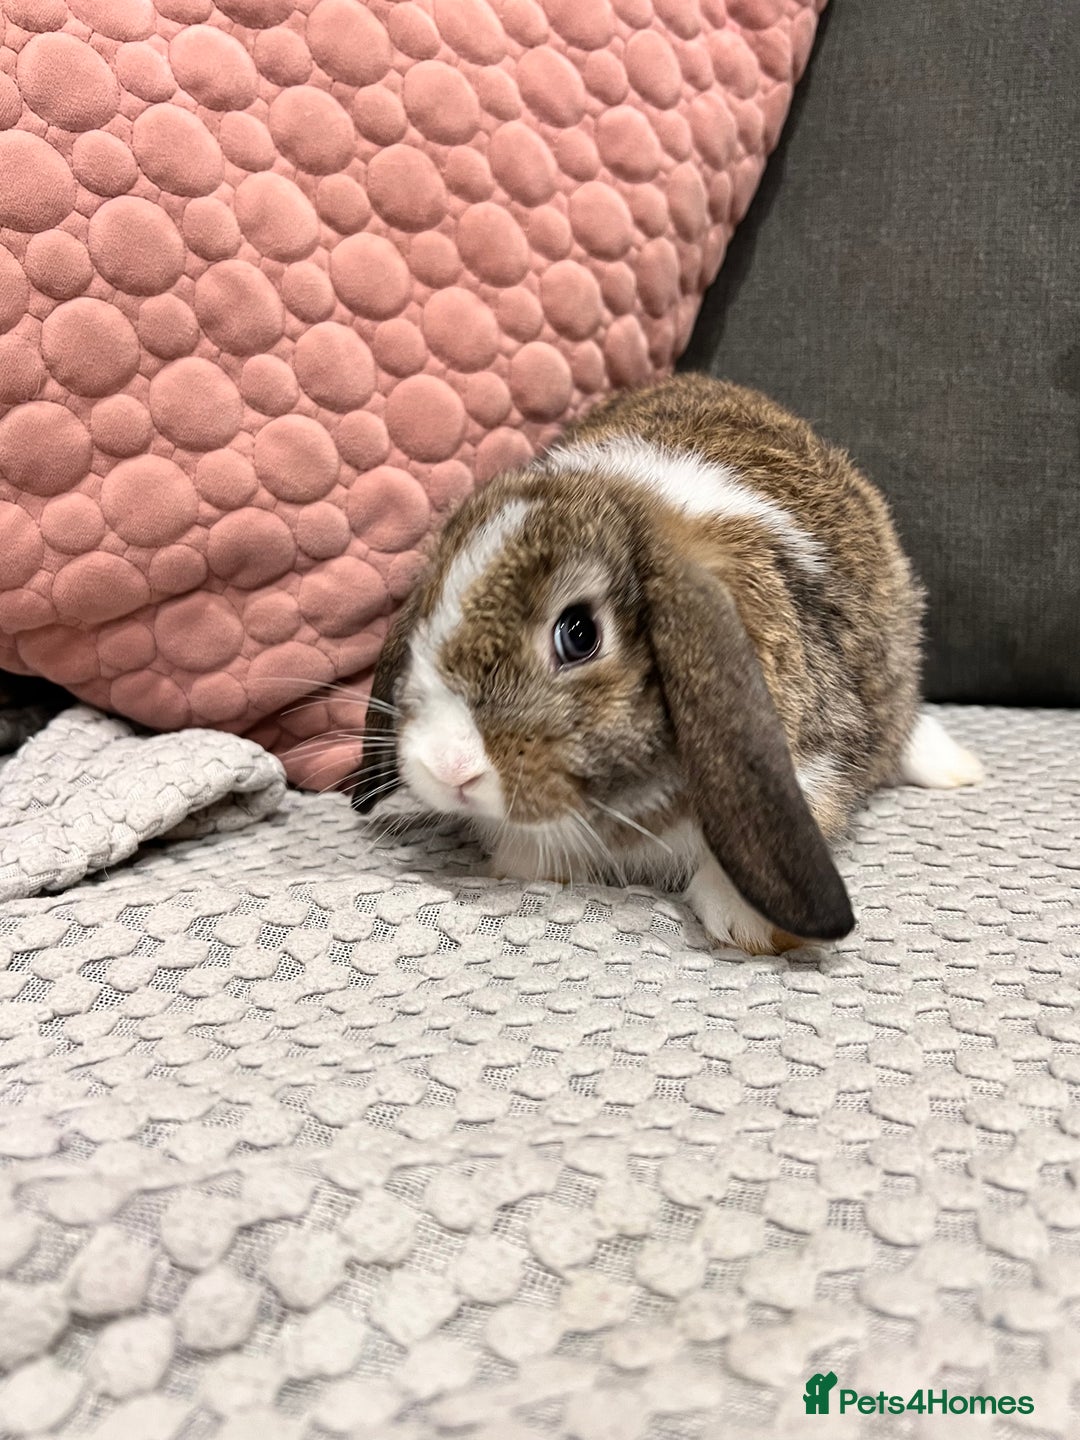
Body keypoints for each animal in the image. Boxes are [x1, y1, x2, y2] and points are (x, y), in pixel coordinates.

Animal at [352, 374, 982, 955]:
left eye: (578, 635)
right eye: (425, 612)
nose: (448, 768)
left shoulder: (813, 759)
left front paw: (746, 924)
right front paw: (518, 864)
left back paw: (956, 768)